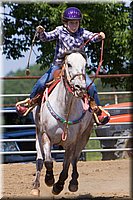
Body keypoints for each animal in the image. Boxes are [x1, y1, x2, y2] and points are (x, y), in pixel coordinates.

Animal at [31, 48, 93, 195]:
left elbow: (66, 167)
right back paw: (36, 186)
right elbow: (48, 161)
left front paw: (58, 186)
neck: (65, 108)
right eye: (69, 64)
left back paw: (73, 183)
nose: (80, 87)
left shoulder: (71, 142)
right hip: (38, 134)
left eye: (85, 65)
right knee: (40, 159)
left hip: (84, 137)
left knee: (74, 160)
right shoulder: (46, 135)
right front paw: (49, 180)